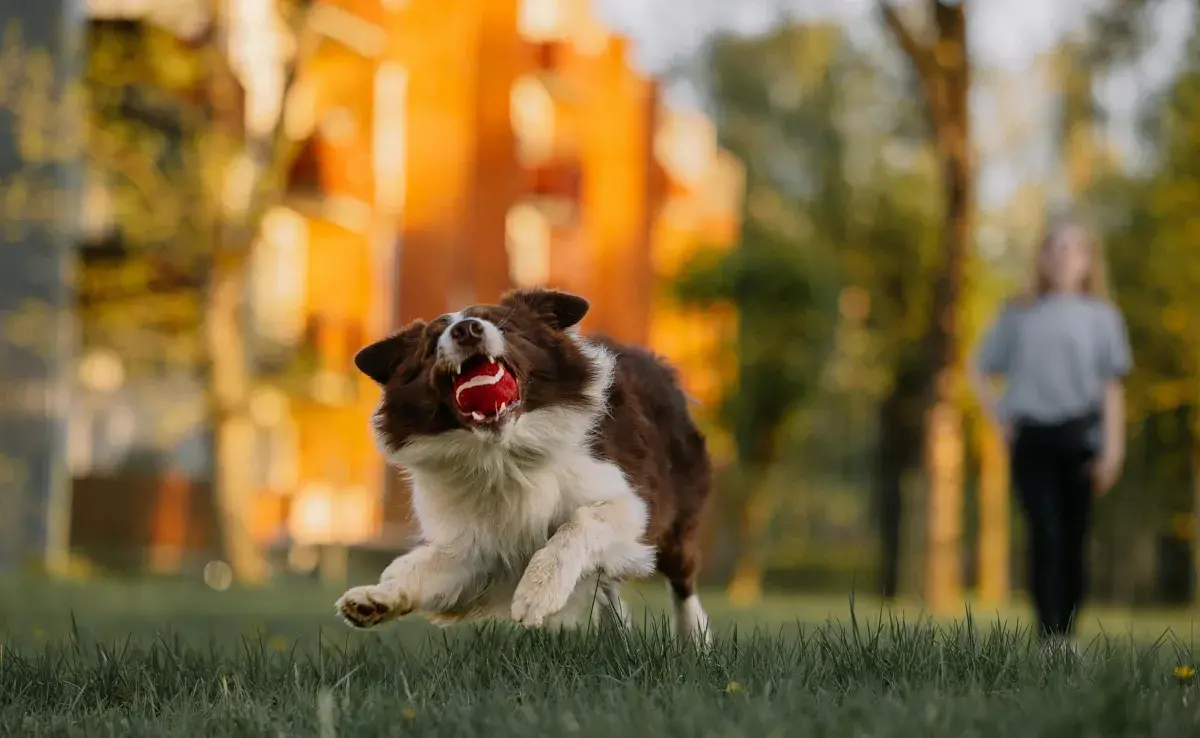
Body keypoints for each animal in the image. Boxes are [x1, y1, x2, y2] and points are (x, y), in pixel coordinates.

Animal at [333, 285, 710, 643]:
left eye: (504, 326)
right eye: (431, 344)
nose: (466, 330)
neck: (504, 452)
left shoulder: (633, 501)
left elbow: (579, 522)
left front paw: (538, 591)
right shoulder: (480, 547)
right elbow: (427, 566)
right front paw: (376, 597)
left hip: (678, 513)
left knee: (682, 582)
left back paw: (695, 641)